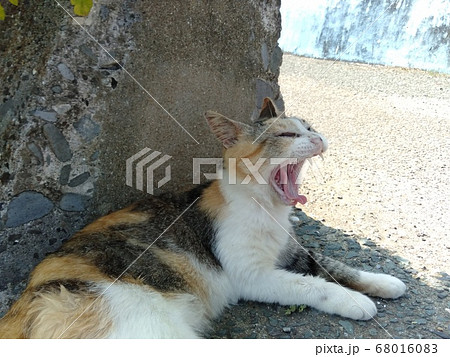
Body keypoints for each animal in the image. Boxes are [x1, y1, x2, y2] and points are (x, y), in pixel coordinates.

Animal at [0, 98, 406, 338]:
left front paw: (385, 282)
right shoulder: (253, 275)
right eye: (289, 134)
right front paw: (354, 302)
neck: (266, 208)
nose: (319, 138)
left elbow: (335, 267)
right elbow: (312, 285)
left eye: (310, 127)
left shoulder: (293, 252)